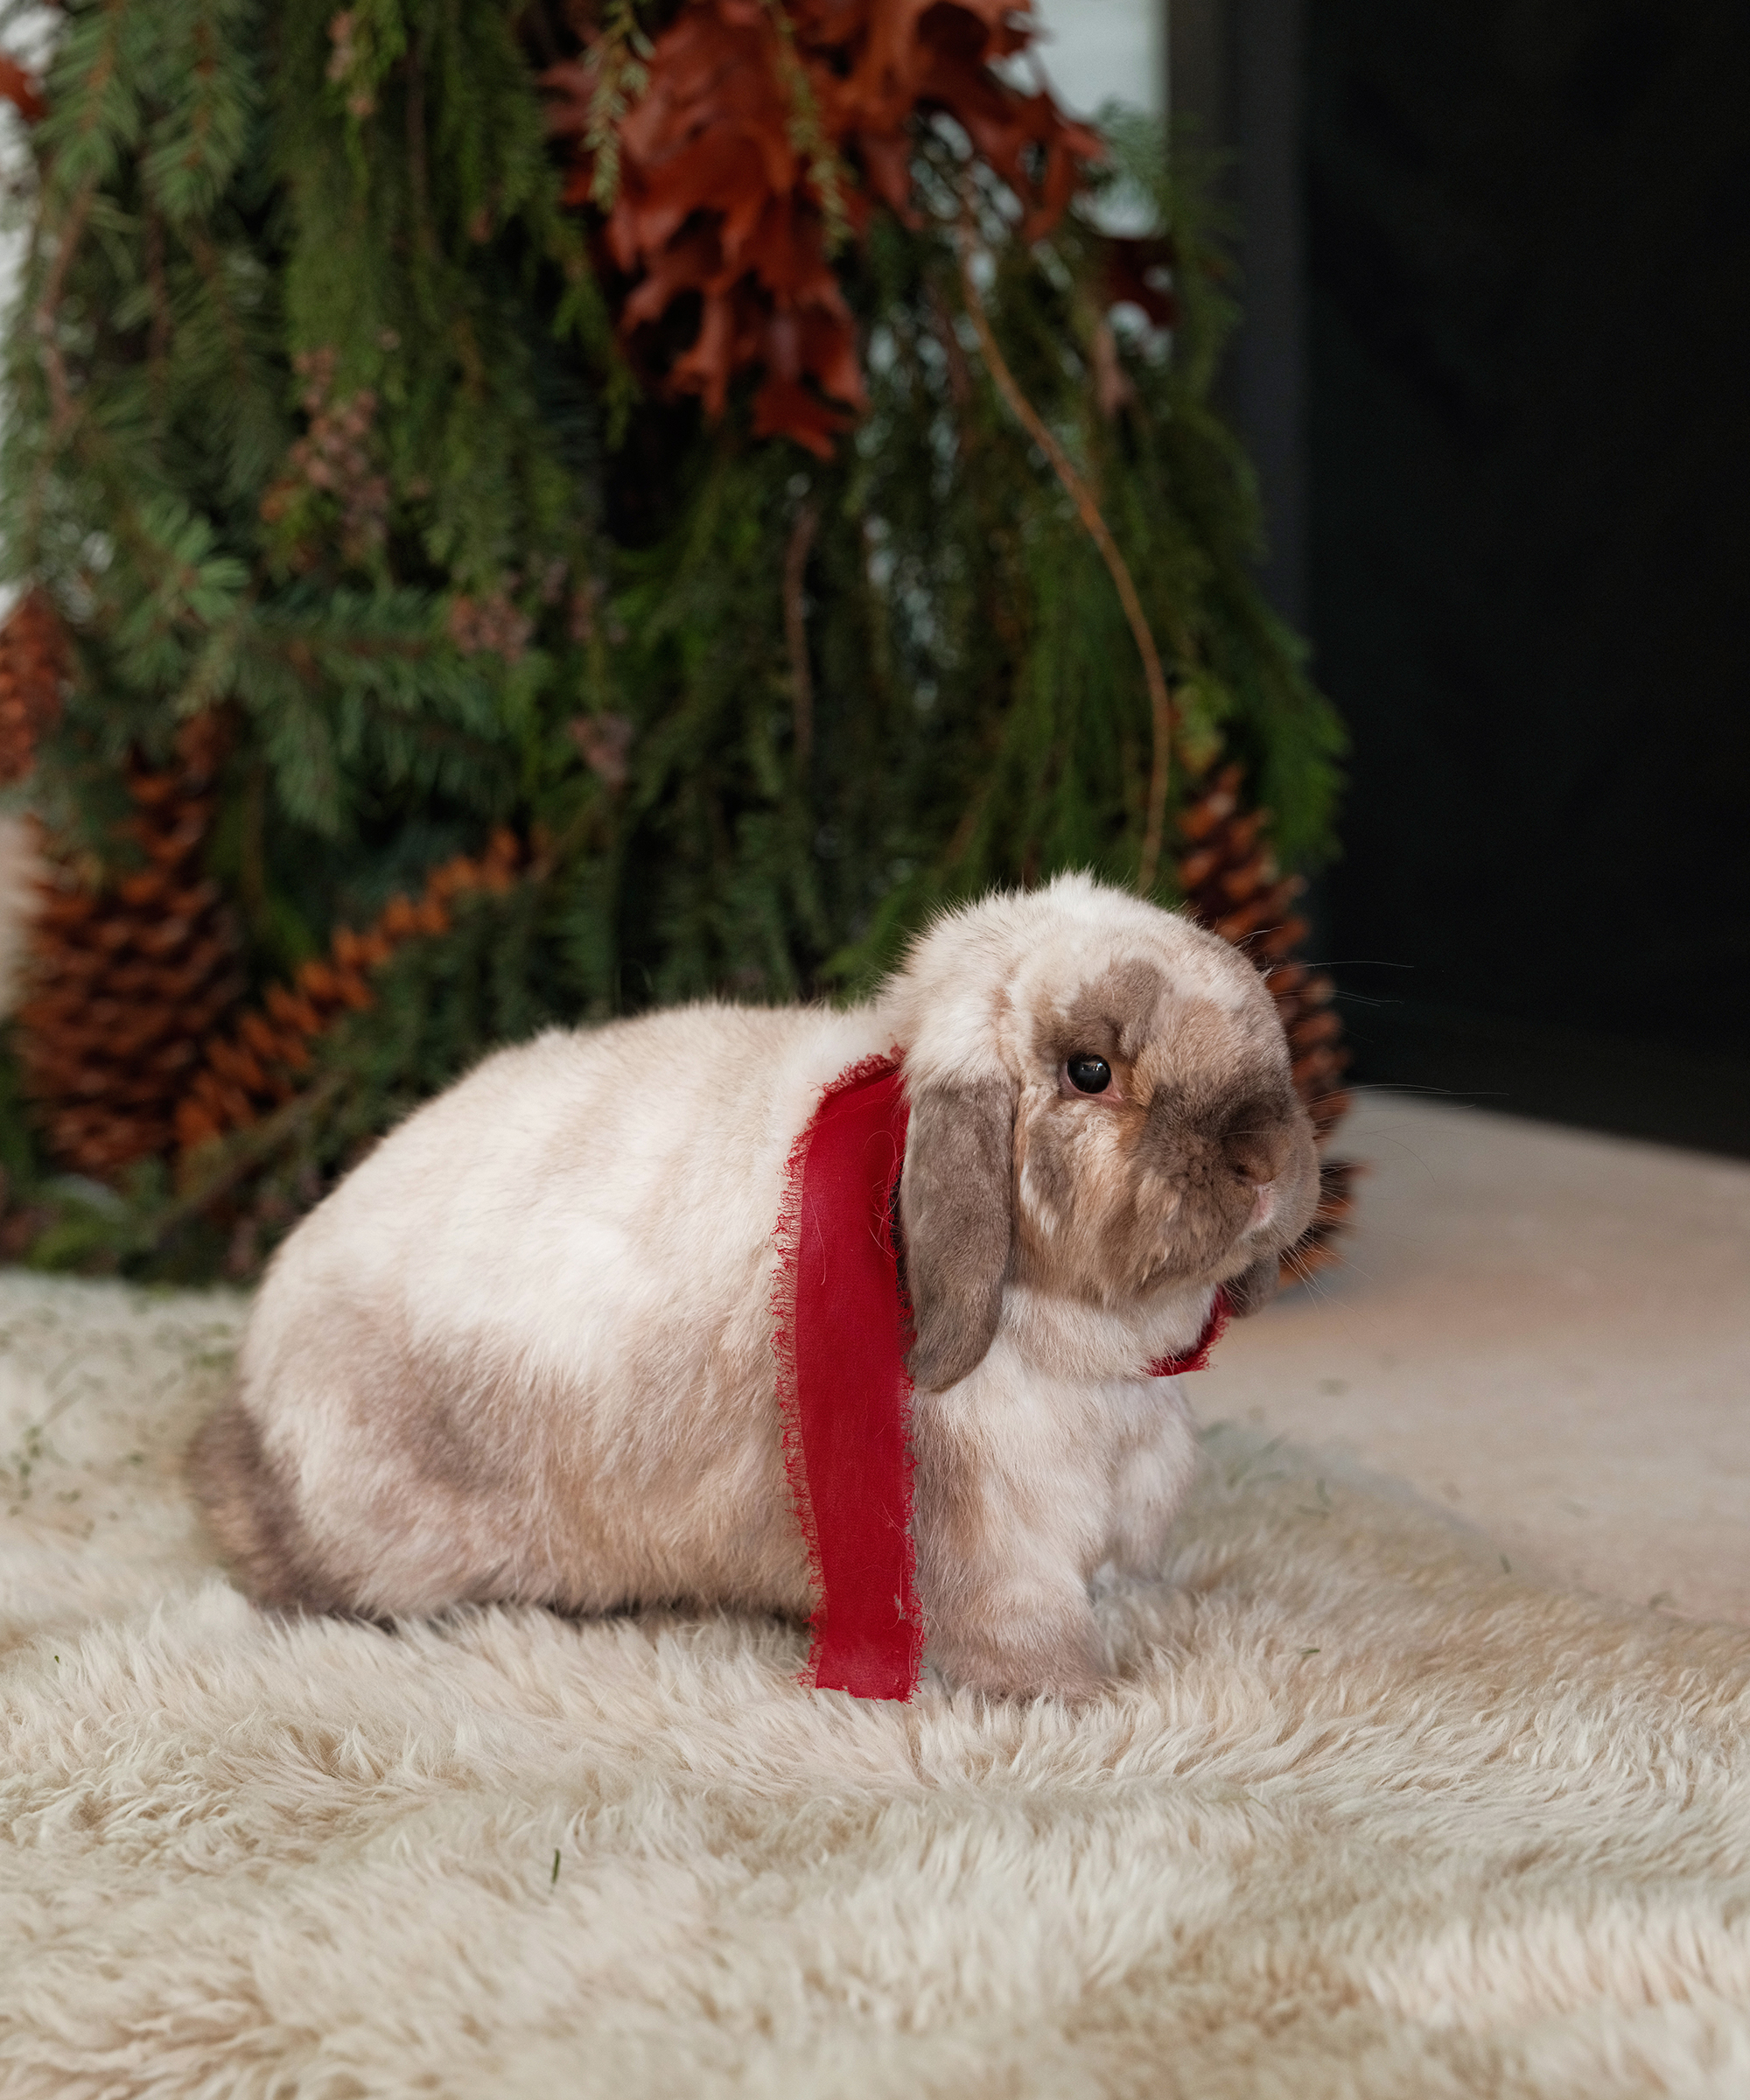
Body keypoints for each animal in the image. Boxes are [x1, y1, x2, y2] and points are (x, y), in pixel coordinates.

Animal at [191, 872, 1320, 1700]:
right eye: (1089, 1072)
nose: (1265, 1158)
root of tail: (253, 1392)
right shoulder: (996, 1545)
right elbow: (1028, 1638)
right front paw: (1085, 1698)